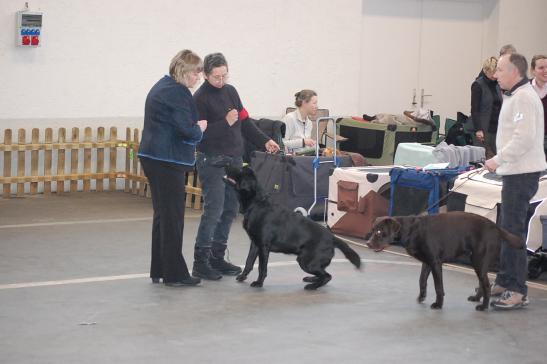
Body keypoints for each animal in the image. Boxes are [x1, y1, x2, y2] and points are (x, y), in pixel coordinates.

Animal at [225, 166, 362, 290]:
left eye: (239, 170)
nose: (226, 165)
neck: (257, 204)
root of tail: (332, 237)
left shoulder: (264, 246)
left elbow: (262, 267)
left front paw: (259, 283)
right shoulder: (255, 243)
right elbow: (249, 262)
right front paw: (242, 277)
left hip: (306, 261)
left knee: (327, 276)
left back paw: (312, 286)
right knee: (323, 274)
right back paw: (311, 279)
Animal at [366, 212, 524, 312]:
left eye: (379, 232)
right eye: (372, 230)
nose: (368, 243)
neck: (411, 230)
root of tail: (495, 226)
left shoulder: (436, 263)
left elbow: (438, 287)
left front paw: (438, 304)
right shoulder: (427, 263)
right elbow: (422, 281)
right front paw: (421, 297)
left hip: (479, 262)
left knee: (486, 285)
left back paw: (484, 307)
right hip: (478, 263)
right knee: (483, 283)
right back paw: (476, 298)